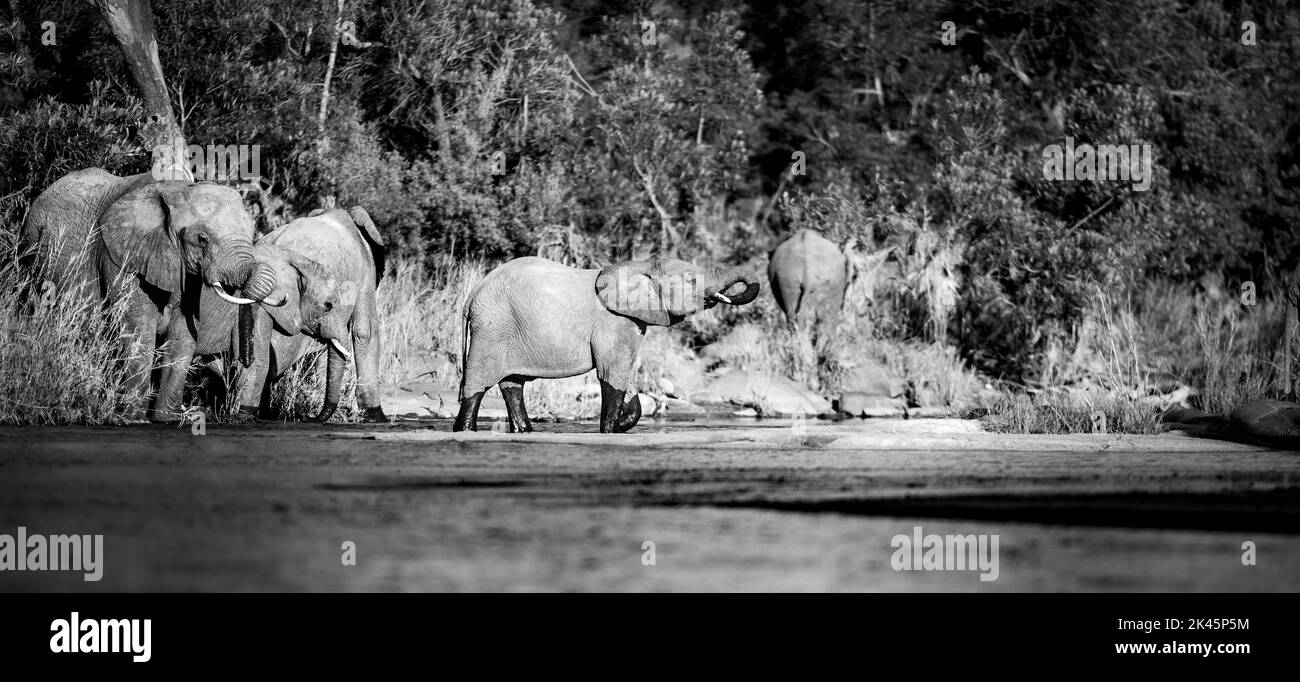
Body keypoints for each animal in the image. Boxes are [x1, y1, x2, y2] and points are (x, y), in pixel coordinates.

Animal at [20, 166, 286, 418]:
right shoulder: (121, 254)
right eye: (202, 239)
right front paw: (133, 417)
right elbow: (139, 327)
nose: (245, 359)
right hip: (36, 250)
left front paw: (164, 419)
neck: (177, 191)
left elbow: (182, 335)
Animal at [228, 205, 390, 423]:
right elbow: (365, 331)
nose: (309, 418)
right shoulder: (366, 270)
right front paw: (377, 417)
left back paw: (249, 413)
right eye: (328, 305)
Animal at [454, 254, 759, 431]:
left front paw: (622, 421)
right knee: (476, 386)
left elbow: (627, 372)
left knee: (513, 385)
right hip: (492, 328)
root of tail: (472, 294)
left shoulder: (632, 322)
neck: (642, 266)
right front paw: (610, 429)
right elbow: (612, 374)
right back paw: (465, 431)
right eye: (692, 280)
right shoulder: (613, 321)